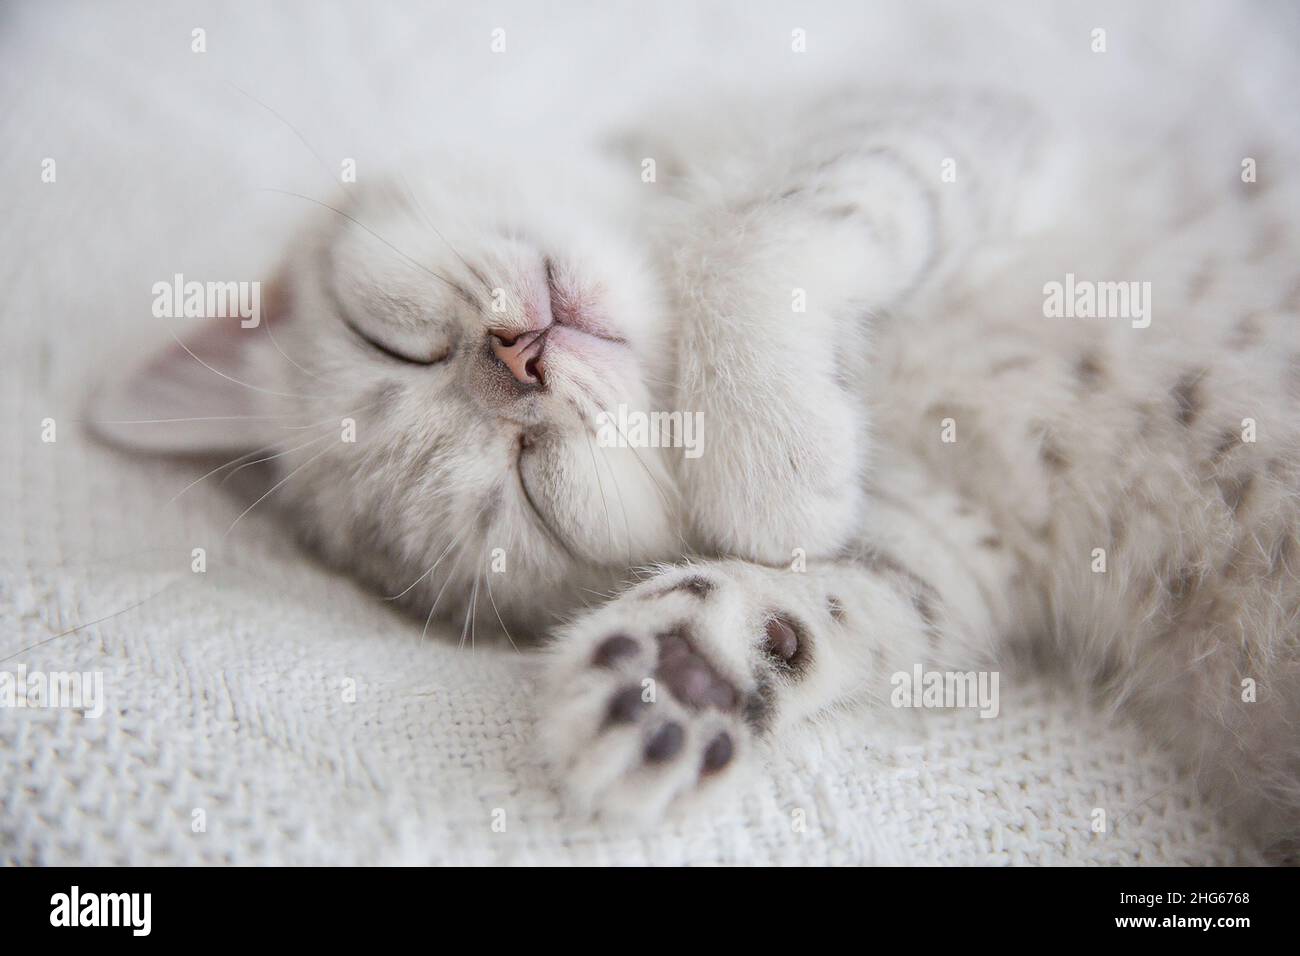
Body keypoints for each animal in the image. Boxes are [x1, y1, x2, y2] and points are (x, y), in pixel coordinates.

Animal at [96, 89, 1300, 853]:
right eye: (530, 491)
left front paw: (772, 446)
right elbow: (838, 599)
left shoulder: (944, 121)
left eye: (388, 339)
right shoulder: (962, 531)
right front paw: (676, 674)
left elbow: (756, 230)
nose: (518, 361)